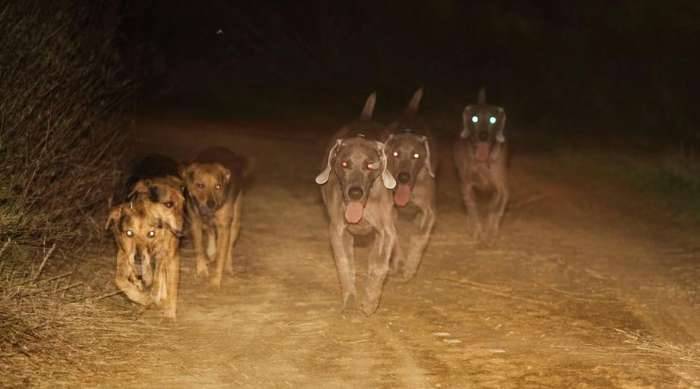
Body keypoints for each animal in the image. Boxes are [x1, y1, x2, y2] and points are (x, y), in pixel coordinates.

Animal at [179, 147, 247, 286]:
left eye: (218, 186)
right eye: (200, 185)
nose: (211, 204)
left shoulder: (224, 227)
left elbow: (222, 254)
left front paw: (216, 280)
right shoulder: (195, 223)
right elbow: (199, 249)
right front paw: (202, 270)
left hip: (235, 224)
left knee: (229, 248)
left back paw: (227, 266)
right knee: (210, 232)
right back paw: (211, 253)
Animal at [318, 91, 400, 316]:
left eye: (369, 165)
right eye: (345, 164)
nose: (355, 193)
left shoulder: (386, 230)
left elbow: (379, 264)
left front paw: (370, 301)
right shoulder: (338, 230)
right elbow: (345, 264)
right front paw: (350, 300)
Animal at [382, 88, 438, 278]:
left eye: (416, 155)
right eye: (396, 154)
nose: (403, 177)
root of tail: (410, 110)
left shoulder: (429, 211)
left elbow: (420, 238)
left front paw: (411, 265)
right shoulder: (390, 211)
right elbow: (395, 238)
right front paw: (398, 262)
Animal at [454, 87, 508, 242]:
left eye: (493, 119)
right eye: (474, 118)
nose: (483, 135)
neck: (483, 162)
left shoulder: (502, 188)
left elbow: (495, 208)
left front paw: (491, 231)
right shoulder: (466, 186)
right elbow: (472, 209)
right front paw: (477, 231)